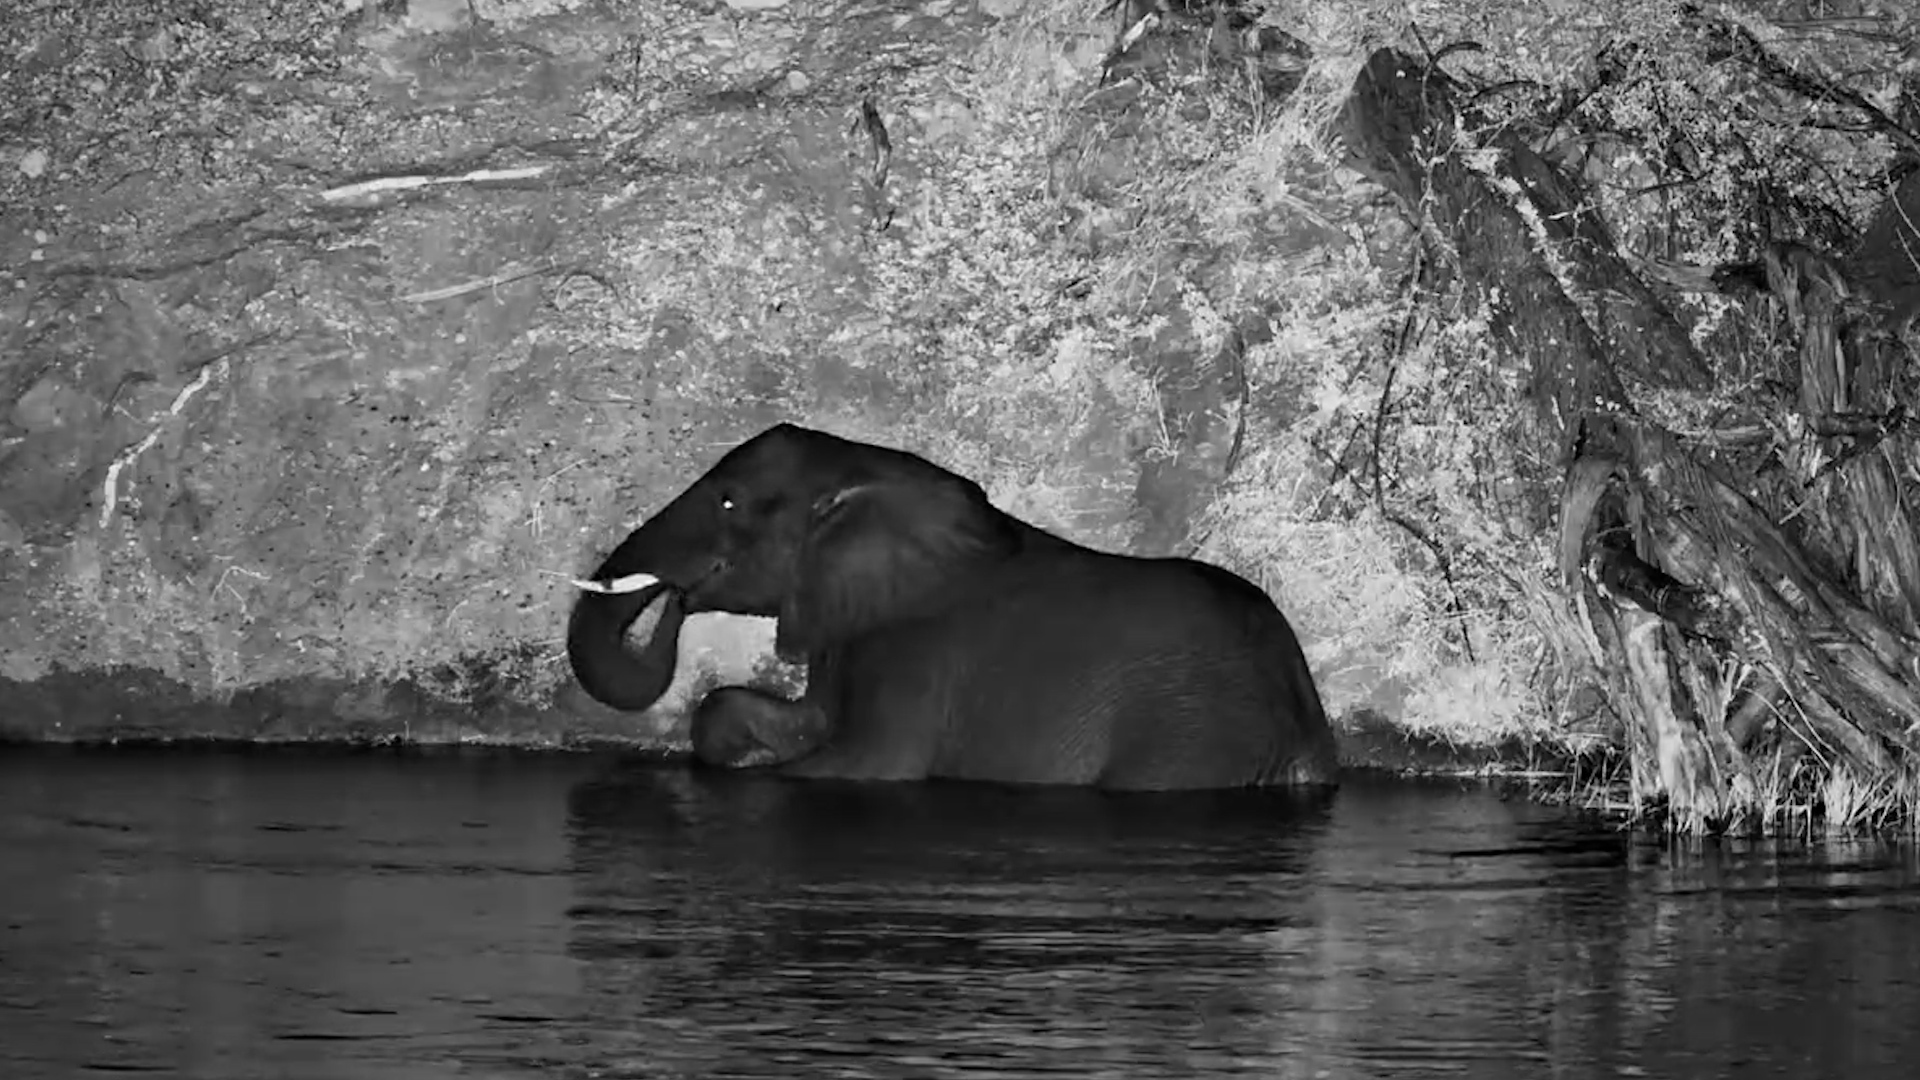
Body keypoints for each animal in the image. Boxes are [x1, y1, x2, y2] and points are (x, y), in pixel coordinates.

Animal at [565, 423, 1339, 791]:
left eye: (728, 502)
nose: (675, 599)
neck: (869, 471)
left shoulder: (914, 655)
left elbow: (865, 765)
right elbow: (785, 717)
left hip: (1191, 735)